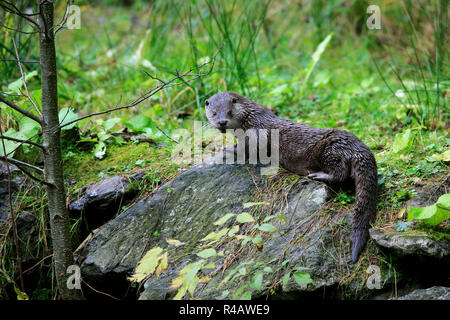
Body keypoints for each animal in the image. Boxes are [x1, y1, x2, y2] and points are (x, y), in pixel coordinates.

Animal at [206, 90, 378, 262]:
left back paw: (317, 175)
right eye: (214, 113)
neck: (250, 119)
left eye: (229, 111)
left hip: (330, 150)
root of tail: (359, 148)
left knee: (339, 173)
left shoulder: (255, 135)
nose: (222, 122)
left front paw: (226, 148)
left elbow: (246, 150)